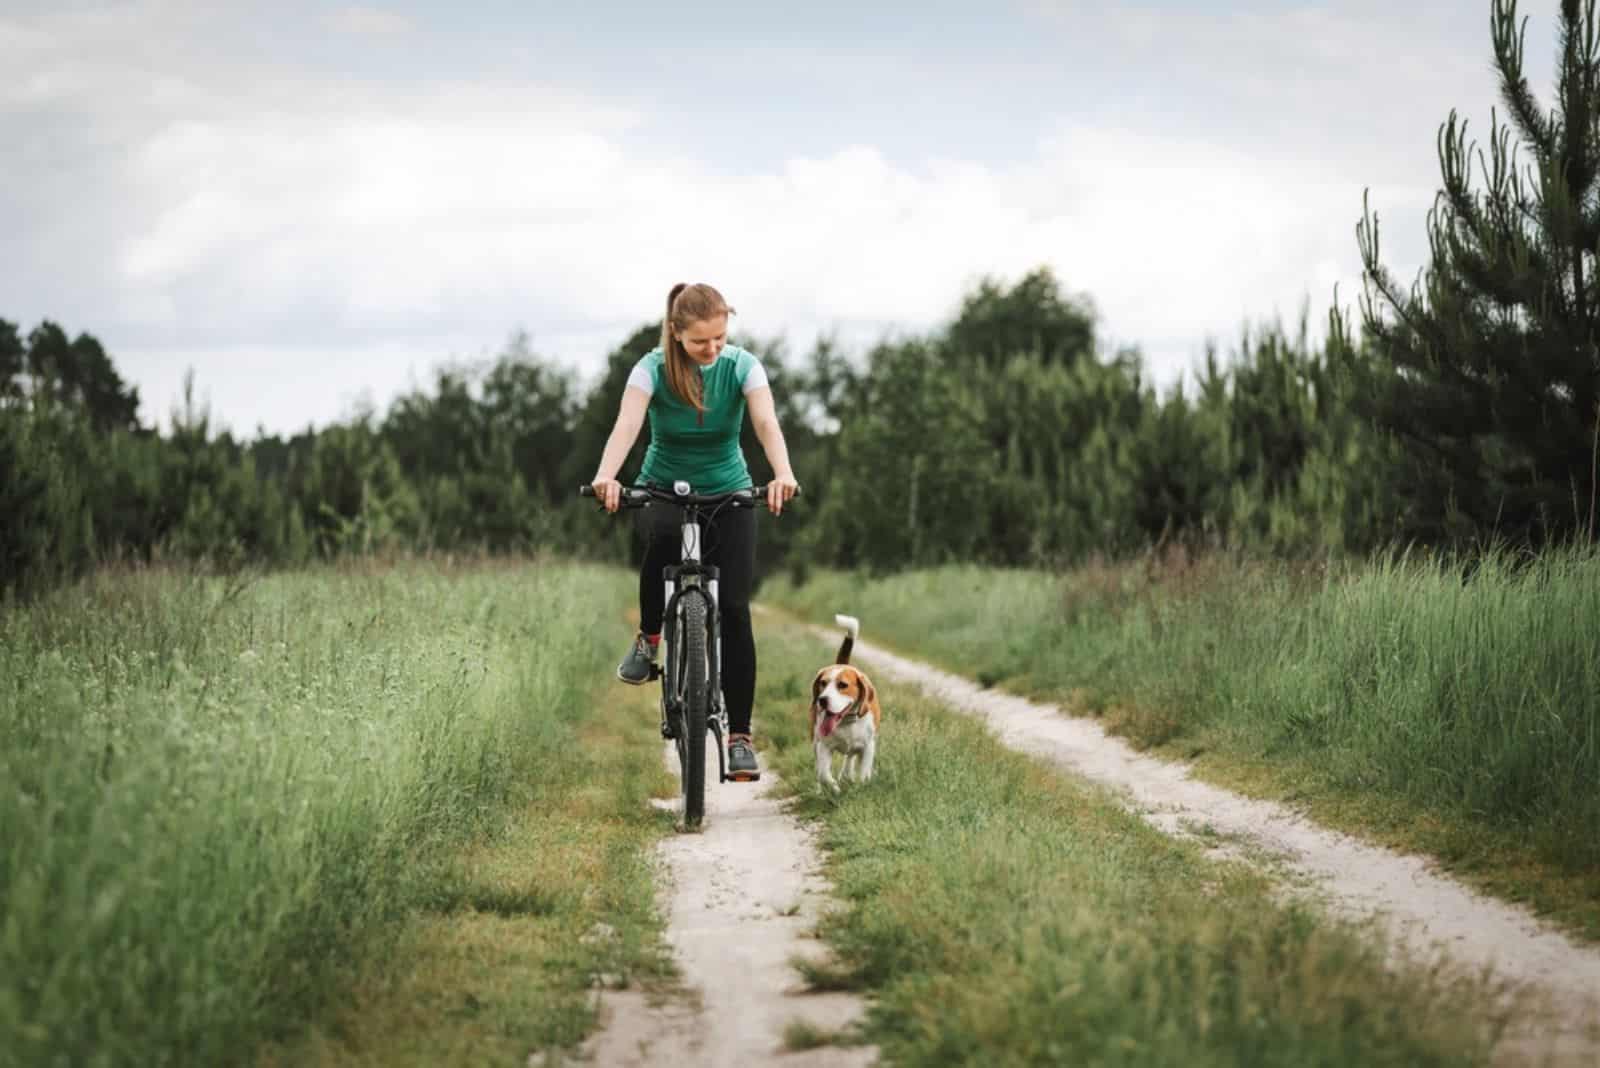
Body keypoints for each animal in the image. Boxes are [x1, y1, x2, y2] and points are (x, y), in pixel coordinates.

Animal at [812, 617, 889, 793]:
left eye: (842, 685)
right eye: (823, 683)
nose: (822, 700)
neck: (846, 721)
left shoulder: (868, 747)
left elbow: (864, 774)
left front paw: (859, 788)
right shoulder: (824, 746)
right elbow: (824, 775)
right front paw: (835, 790)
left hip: (856, 747)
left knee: (849, 758)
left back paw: (847, 776)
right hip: (815, 740)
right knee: (819, 769)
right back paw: (820, 788)